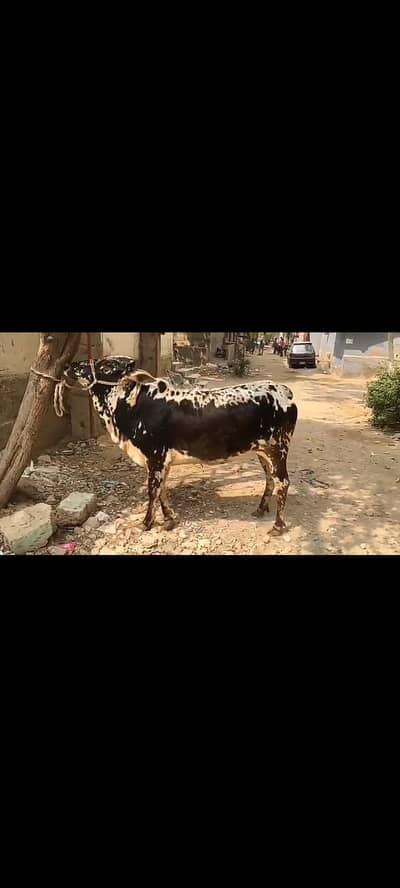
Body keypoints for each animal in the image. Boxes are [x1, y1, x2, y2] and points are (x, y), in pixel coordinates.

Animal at [65, 356, 298, 535]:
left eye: (107, 367)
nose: (71, 365)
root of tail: (283, 390)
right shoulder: (163, 462)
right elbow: (162, 489)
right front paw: (168, 519)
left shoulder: (155, 457)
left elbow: (153, 491)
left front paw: (146, 523)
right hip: (262, 452)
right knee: (270, 479)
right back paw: (261, 509)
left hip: (278, 449)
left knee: (283, 482)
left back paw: (278, 526)